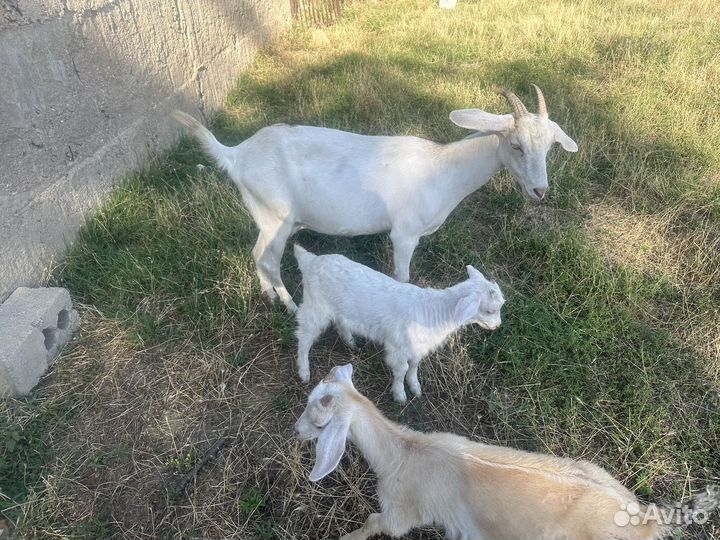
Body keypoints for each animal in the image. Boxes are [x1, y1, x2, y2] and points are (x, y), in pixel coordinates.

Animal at [172, 86, 577, 312]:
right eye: (516, 145)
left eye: (550, 147)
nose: (540, 191)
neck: (442, 169)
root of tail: (237, 154)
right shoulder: (405, 233)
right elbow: (402, 277)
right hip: (276, 215)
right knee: (267, 258)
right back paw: (288, 303)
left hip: (268, 216)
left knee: (258, 255)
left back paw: (269, 295)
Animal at [293, 244, 504, 402]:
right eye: (489, 310)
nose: (497, 326)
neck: (434, 311)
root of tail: (310, 261)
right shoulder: (398, 347)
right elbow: (402, 369)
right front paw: (400, 394)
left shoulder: (417, 345)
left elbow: (415, 365)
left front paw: (415, 386)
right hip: (315, 305)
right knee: (304, 337)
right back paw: (304, 371)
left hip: (339, 308)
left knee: (340, 322)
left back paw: (350, 342)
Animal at [295, 364, 720, 540]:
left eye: (317, 422)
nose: (295, 430)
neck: (403, 452)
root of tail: (647, 518)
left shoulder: (404, 512)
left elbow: (373, 523)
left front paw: (345, 539)